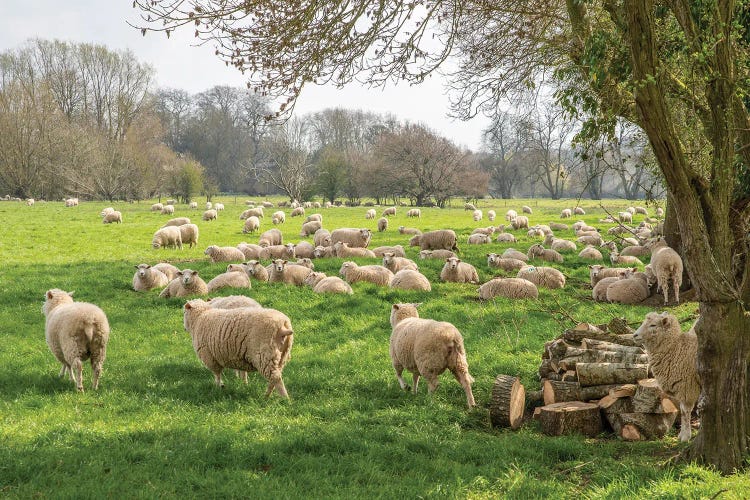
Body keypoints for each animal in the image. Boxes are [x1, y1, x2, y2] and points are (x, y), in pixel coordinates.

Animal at [636, 312, 704, 442]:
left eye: (653, 325)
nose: (634, 335)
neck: (675, 349)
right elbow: (684, 410)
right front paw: (683, 435)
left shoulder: (687, 387)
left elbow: (685, 412)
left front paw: (685, 437)